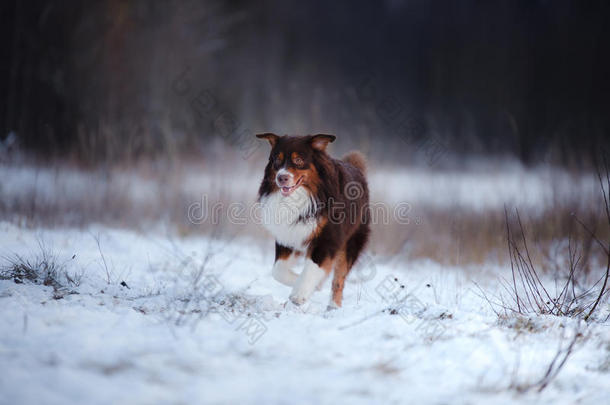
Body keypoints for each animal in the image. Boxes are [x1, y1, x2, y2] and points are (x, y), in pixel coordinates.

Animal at [254, 133, 368, 306]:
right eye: (277, 160)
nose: (282, 178)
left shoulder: (328, 237)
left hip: (351, 241)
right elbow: (277, 270)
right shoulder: (289, 234)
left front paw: (299, 294)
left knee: (339, 280)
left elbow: (313, 267)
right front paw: (311, 285)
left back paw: (333, 307)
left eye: (298, 160)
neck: (303, 195)